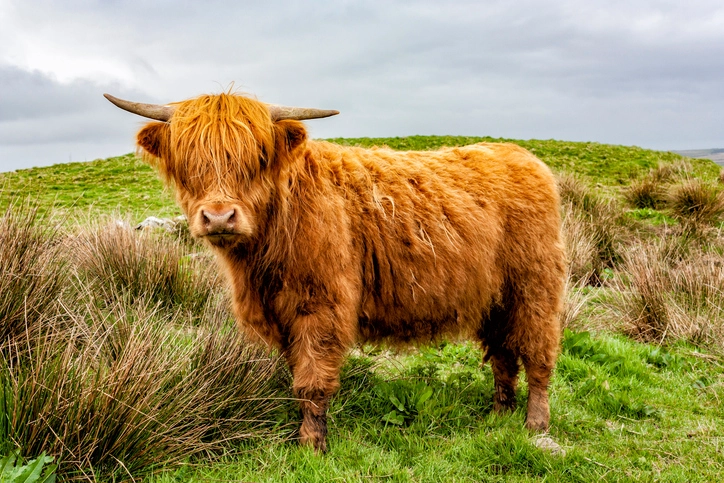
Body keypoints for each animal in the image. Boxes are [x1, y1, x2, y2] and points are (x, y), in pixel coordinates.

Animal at [105, 92, 566, 452]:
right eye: (187, 160)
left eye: (257, 158)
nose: (219, 216)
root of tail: (519, 155)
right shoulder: (280, 315)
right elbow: (296, 374)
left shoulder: (320, 304)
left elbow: (312, 379)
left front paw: (312, 444)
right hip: (494, 298)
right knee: (503, 354)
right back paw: (499, 415)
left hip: (535, 285)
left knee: (538, 353)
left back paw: (534, 423)